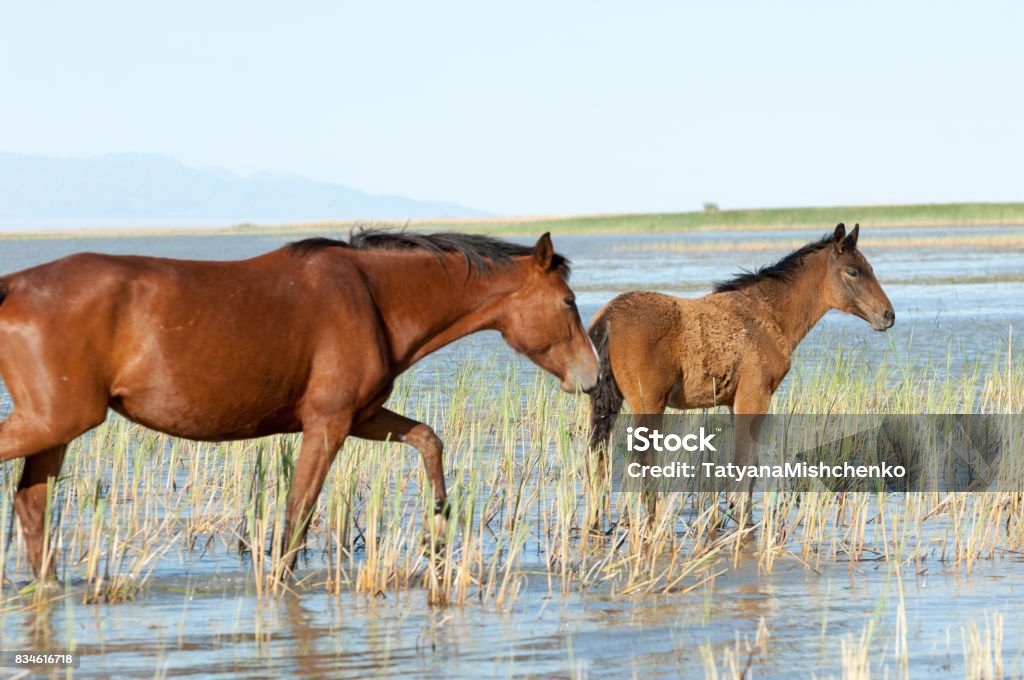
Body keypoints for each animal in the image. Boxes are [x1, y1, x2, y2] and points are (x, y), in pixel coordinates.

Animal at [0, 229, 598, 580]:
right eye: (568, 301)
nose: (593, 377)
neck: (374, 296)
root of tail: (14, 285)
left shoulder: (361, 417)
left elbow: (428, 438)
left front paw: (438, 529)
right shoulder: (327, 425)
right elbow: (295, 519)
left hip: (55, 431)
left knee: (32, 509)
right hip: (54, 421)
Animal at [587, 223, 894, 525]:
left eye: (870, 268)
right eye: (853, 271)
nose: (888, 315)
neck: (768, 315)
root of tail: (608, 317)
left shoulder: (736, 402)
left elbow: (746, 463)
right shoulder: (755, 396)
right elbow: (745, 461)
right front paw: (740, 512)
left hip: (607, 404)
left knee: (599, 458)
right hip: (648, 404)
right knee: (642, 461)